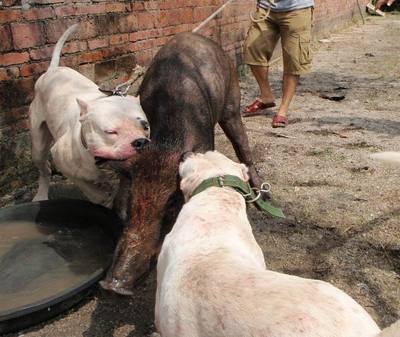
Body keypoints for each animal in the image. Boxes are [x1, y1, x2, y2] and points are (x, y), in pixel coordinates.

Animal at [28, 24, 149, 207]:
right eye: (110, 132)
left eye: (146, 127)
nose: (140, 142)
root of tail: (53, 69)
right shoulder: (63, 163)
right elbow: (92, 191)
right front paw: (102, 196)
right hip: (38, 145)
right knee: (44, 168)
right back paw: (41, 194)